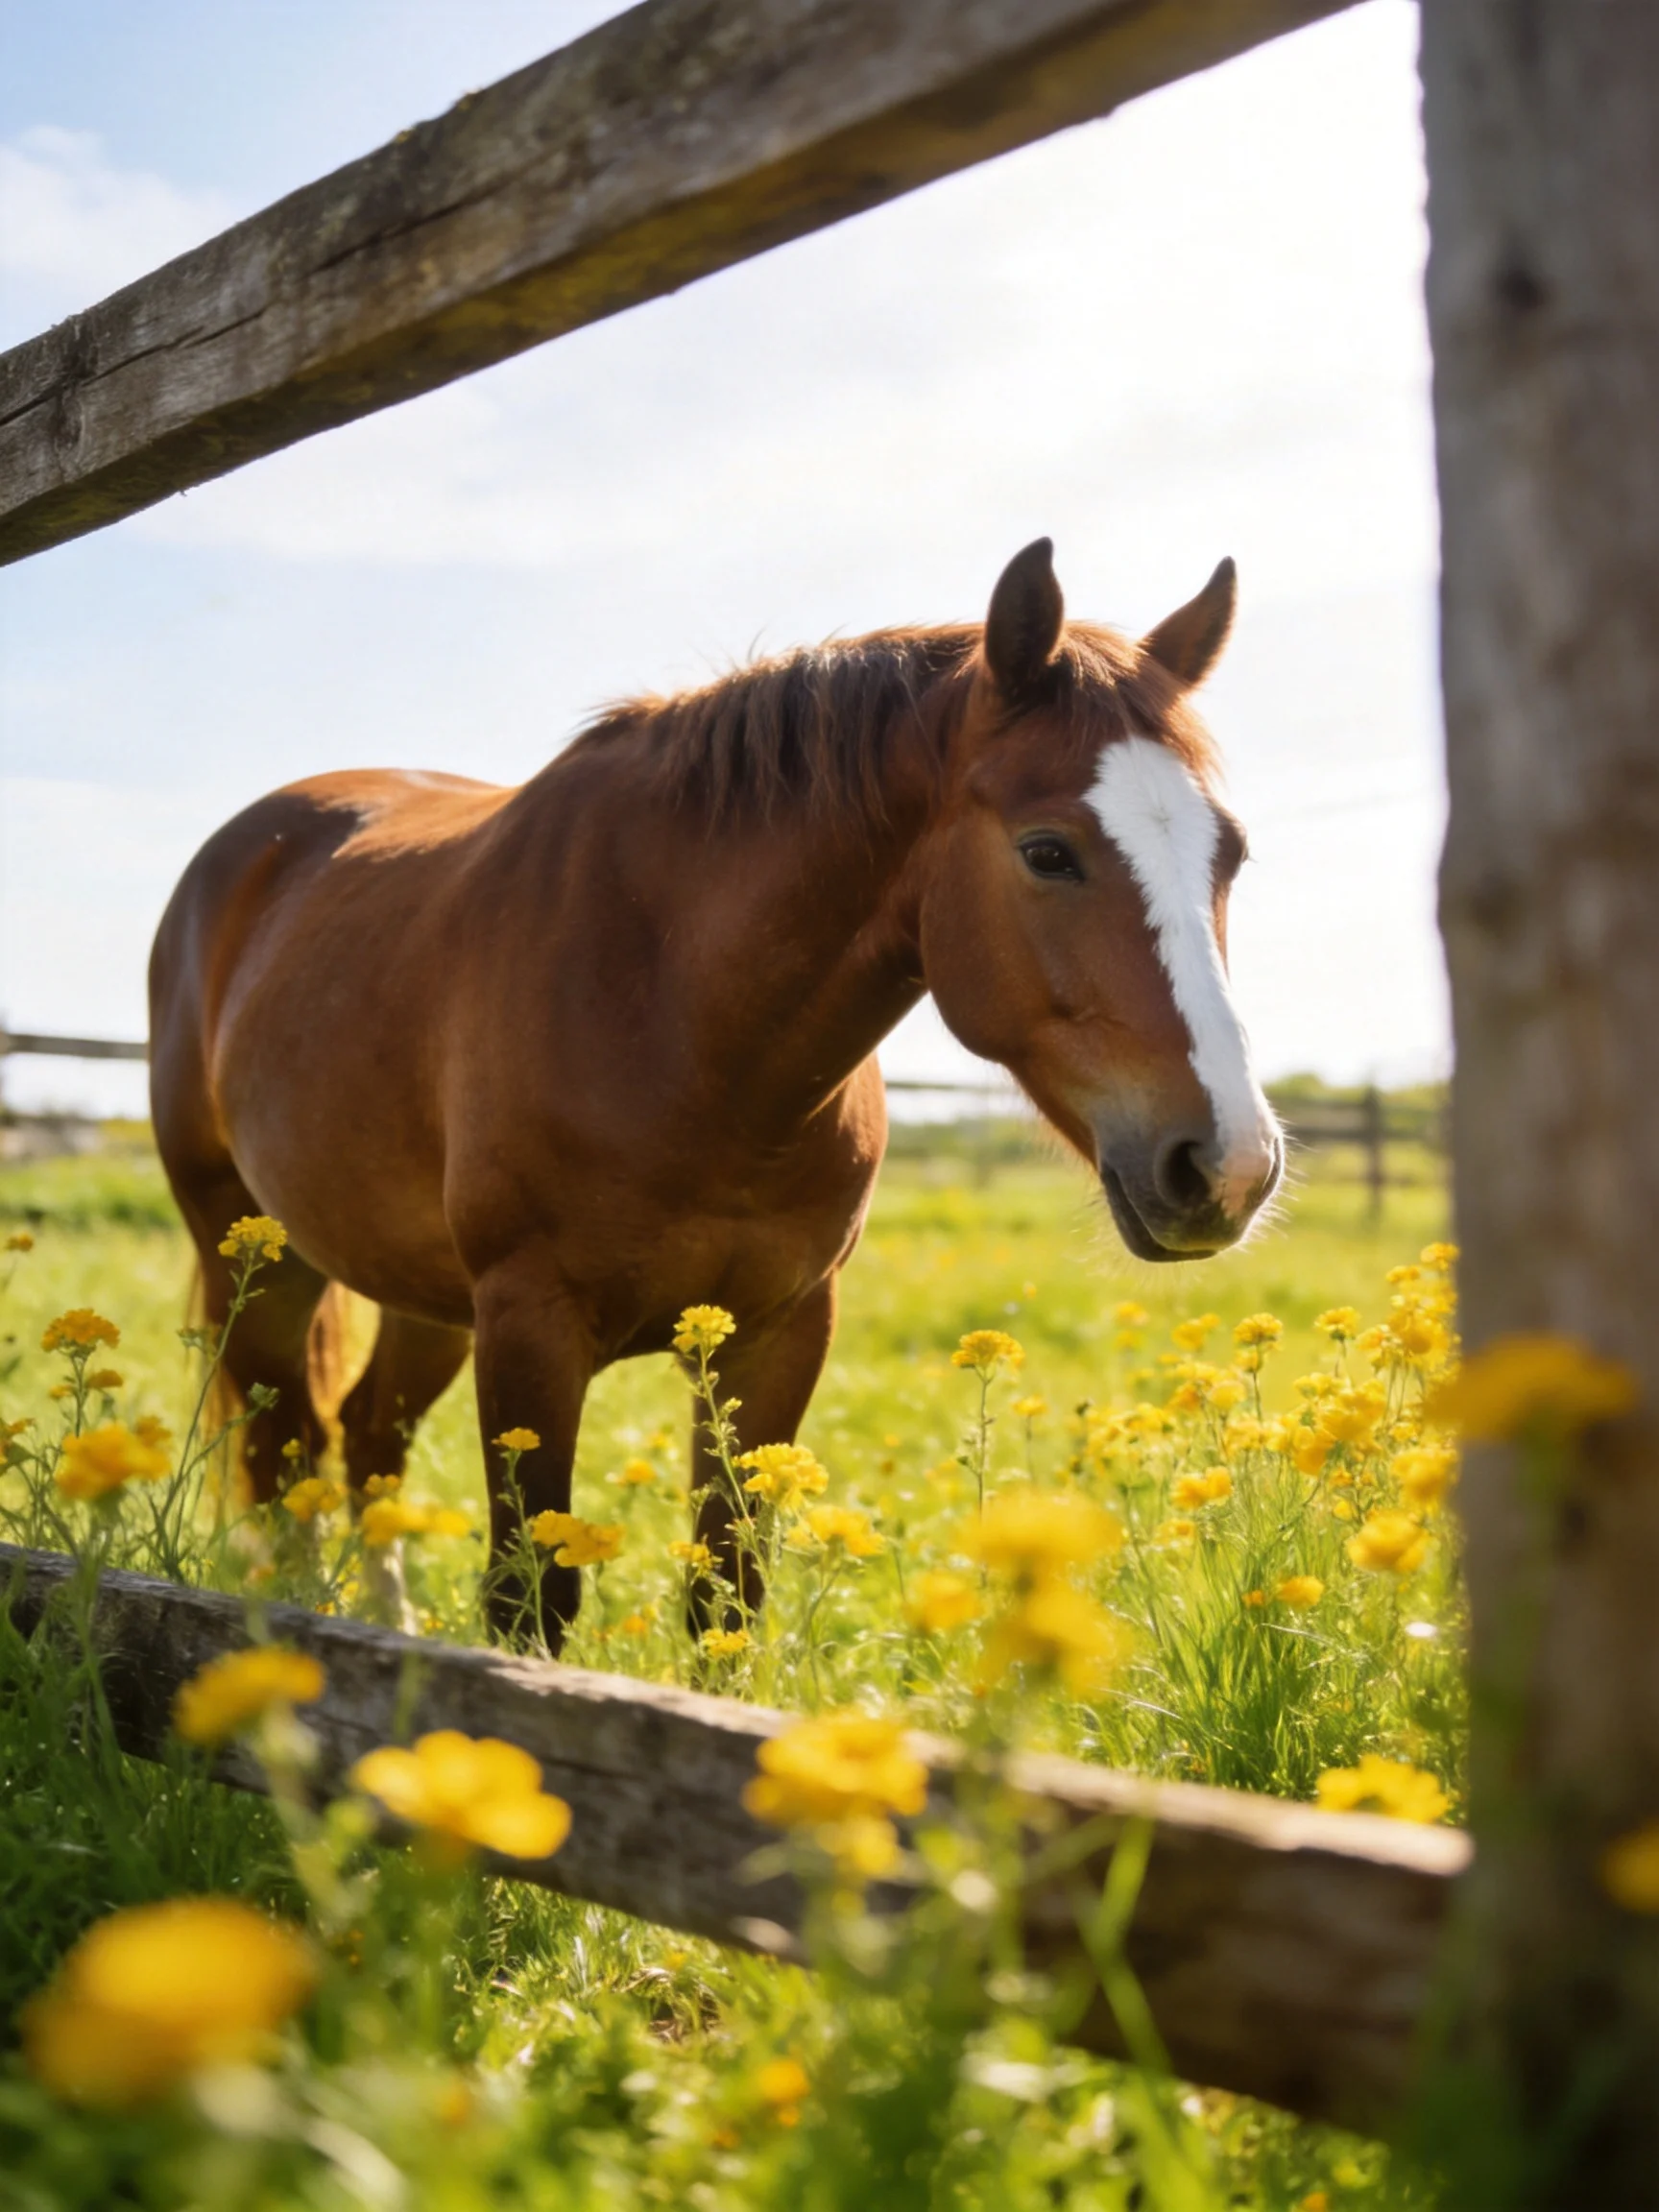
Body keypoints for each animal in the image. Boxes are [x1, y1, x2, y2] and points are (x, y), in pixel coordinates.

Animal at [149, 539, 1282, 1642]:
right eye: (1049, 852)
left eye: (1231, 853)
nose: (1229, 1165)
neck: (682, 1024)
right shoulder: (530, 1325)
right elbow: (530, 1608)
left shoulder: (780, 1334)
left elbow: (726, 1601)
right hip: (256, 1255)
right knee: (284, 1456)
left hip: (418, 1292)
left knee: (365, 1440)